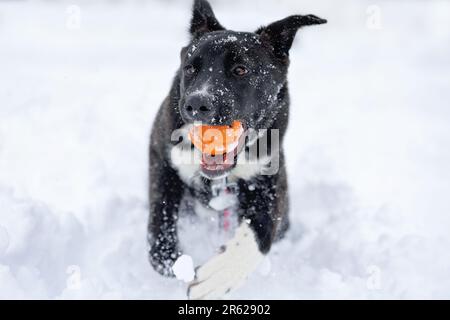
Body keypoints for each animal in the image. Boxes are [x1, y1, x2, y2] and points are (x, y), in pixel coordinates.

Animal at [149, 0, 326, 300]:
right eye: (190, 68)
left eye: (241, 69)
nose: (196, 104)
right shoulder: (161, 155)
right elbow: (159, 218)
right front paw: (173, 260)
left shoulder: (270, 179)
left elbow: (261, 230)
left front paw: (220, 273)